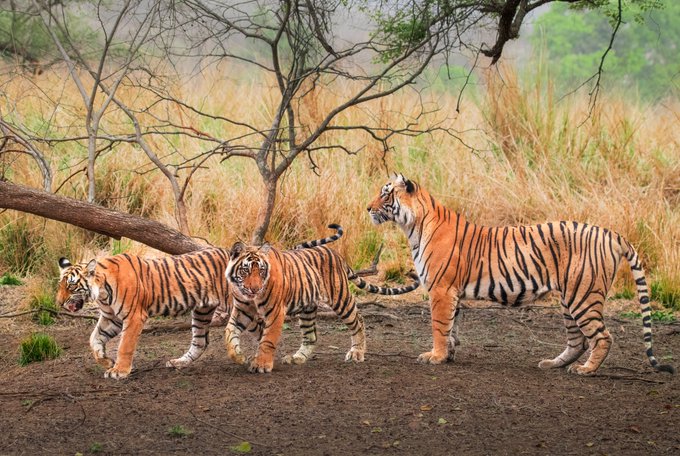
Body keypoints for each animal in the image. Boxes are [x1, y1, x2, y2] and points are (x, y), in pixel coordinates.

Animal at [56, 229, 344, 379]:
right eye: (60, 284)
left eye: (71, 285)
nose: (57, 302)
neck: (101, 293)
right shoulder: (111, 318)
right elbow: (94, 339)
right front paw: (105, 361)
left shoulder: (133, 317)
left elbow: (125, 345)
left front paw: (119, 370)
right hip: (203, 310)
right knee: (201, 342)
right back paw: (181, 362)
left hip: (241, 306)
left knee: (263, 330)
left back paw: (258, 359)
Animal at [224, 237, 421, 373]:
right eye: (246, 270)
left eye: (262, 270)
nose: (255, 288)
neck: (250, 298)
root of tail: (336, 254)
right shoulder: (242, 310)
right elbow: (229, 333)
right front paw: (239, 356)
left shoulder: (275, 312)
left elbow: (268, 340)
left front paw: (261, 365)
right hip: (307, 308)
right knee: (311, 336)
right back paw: (298, 358)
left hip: (340, 299)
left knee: (359, 320)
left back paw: (357, 353)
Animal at [366, 174, 674, 375]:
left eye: (385, 193)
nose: (367, 208)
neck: (413, 226)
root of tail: (611, 234)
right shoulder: (452, 293)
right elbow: (452, 327)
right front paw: (449, 355)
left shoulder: (441, 289)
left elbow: (439, 326)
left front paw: (436, 356)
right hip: (570, 298)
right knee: (578, 340)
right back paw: (553, 364)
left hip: (583, 296)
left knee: (602, 337)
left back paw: (585, 370)